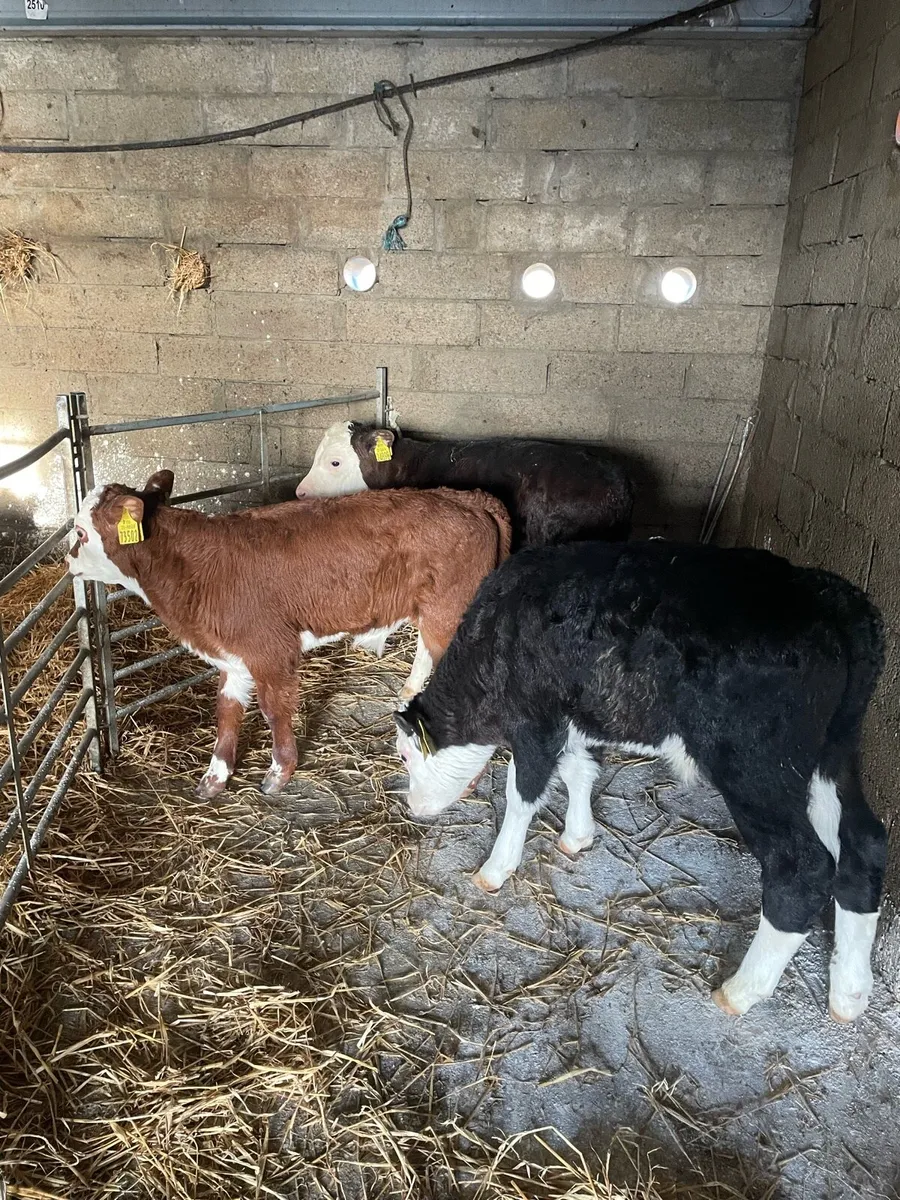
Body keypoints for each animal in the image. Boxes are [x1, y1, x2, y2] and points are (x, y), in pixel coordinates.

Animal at [67, 470, 511, 800]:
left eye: (81, 533)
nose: (68, 561)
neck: (192, 567)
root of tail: (467, 499)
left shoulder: (269, 650)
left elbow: (273, 710)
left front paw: (279, 772)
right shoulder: (232, 656)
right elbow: (227, 711)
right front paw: (215, 776)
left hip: (450, 611)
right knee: (425, 652)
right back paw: (409, 694)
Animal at [392, 540, 887, 1023]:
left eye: (405, 755)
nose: (414, 807)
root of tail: (829, 597)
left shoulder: (534, 720)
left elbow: (524, 791)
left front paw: (495, 869)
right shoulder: (574, 717)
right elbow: (579, 770)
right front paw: (578, 835)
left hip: (756, 766)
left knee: (803, 868)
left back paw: (742, 990)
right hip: (834, 753)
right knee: (863, 843)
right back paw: (849, 993)